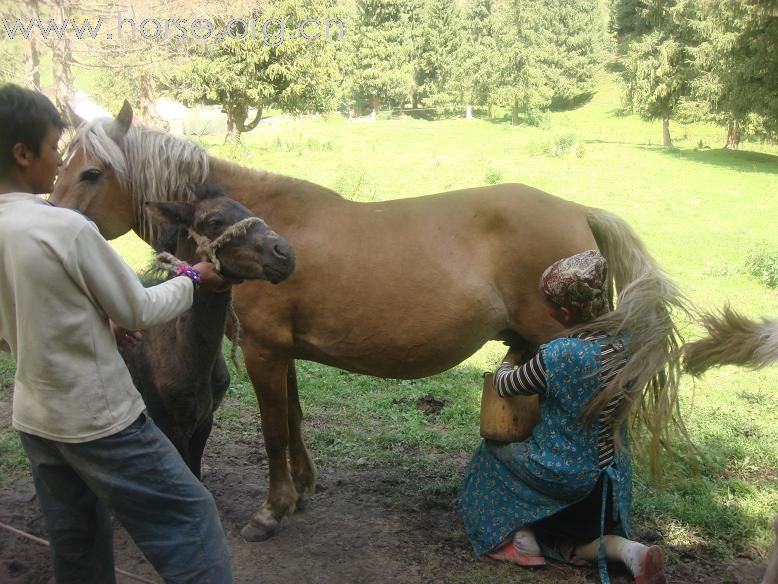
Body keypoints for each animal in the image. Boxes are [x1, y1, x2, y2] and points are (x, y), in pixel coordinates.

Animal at [118, 187, 294, 480]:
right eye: (214, 222)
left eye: (245, 208)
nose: (286, 254)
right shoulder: (169, 424)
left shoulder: (204, 421)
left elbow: (196, 471)